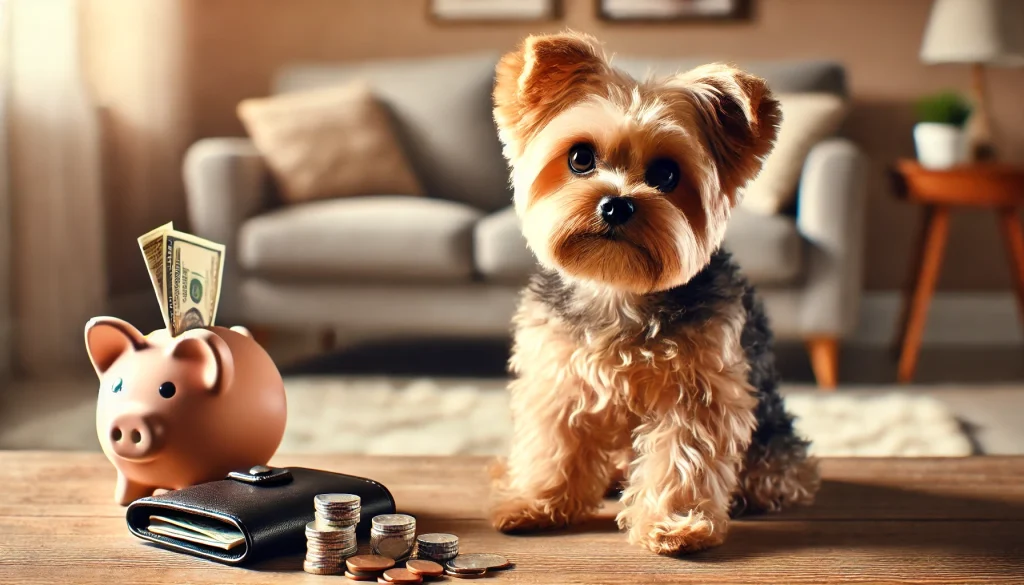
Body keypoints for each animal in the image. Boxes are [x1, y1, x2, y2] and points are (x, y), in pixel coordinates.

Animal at [485, 30, 815, 553]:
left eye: (666, 174)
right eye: (580, 158)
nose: (617, 205)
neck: (618, 289)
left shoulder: (699, 390)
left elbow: (683, 456)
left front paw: (675, 525)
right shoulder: (557, 375)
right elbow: (552, 442)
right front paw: (536, 501)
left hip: (773, 435)